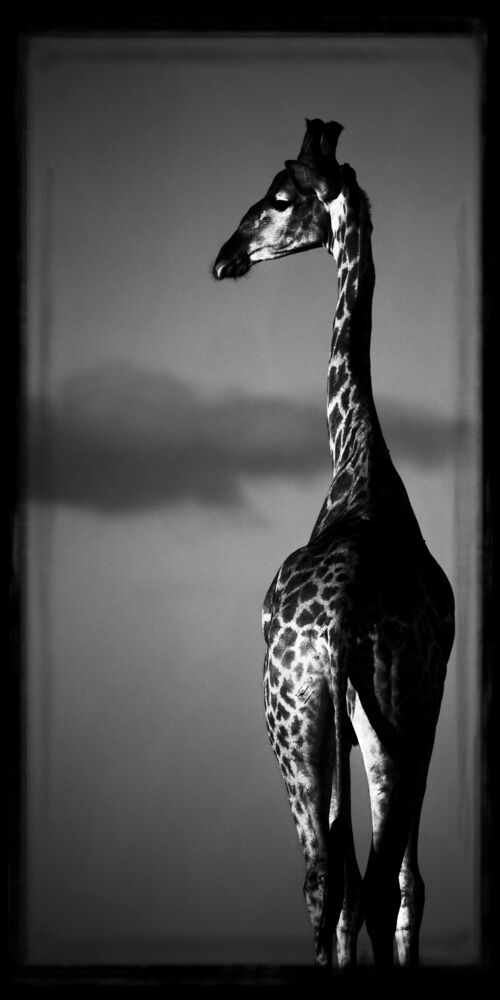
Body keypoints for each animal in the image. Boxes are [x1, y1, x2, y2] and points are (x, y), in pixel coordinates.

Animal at [213, 119, 455, 970]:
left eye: (281, 198)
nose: (225, 256)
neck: (360, 465)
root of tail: (343, 623)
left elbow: (376, 888)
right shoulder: (418, 712)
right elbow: (401, 887)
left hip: (299, 720)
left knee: (334, 885)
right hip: (371, 717)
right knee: (366, 886)